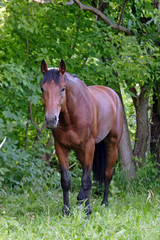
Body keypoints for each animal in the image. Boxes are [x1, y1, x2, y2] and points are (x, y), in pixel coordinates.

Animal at [40, 59, 124, 215]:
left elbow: (87, 180)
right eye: (42, 89)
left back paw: (104, 203)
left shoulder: (89, 146)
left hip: (112, 145)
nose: (50, 119)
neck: (71, 117)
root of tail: (111, 93)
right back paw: (80, 200)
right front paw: (66, 211)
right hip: (80, 151)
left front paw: (88, 211)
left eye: (63, 88)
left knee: (107, 174)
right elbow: (66, 181)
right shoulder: (61, 148)